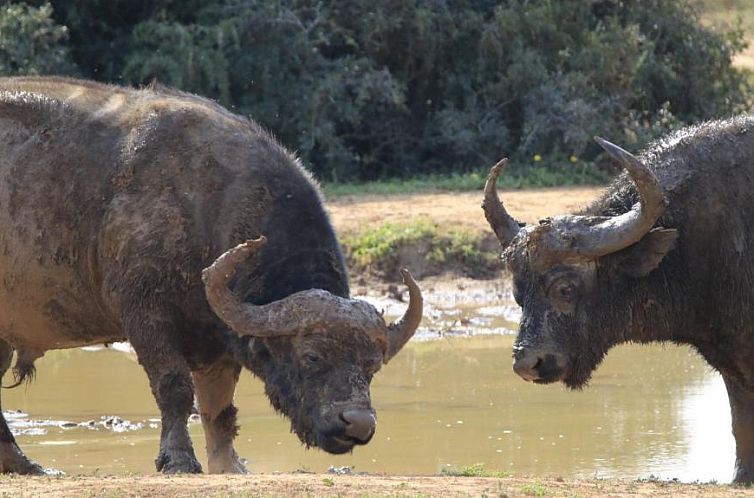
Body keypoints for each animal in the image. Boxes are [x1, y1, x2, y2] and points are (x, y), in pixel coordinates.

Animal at [0, 77, 424, 474]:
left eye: (371, 365)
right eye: (312, 356)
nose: (358, 423)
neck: (206, 206)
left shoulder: (217, 343)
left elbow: (218, 408)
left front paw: (228, 464)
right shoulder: (145, 316)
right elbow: (173, 388)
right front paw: (178, 459)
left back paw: (22, 463)